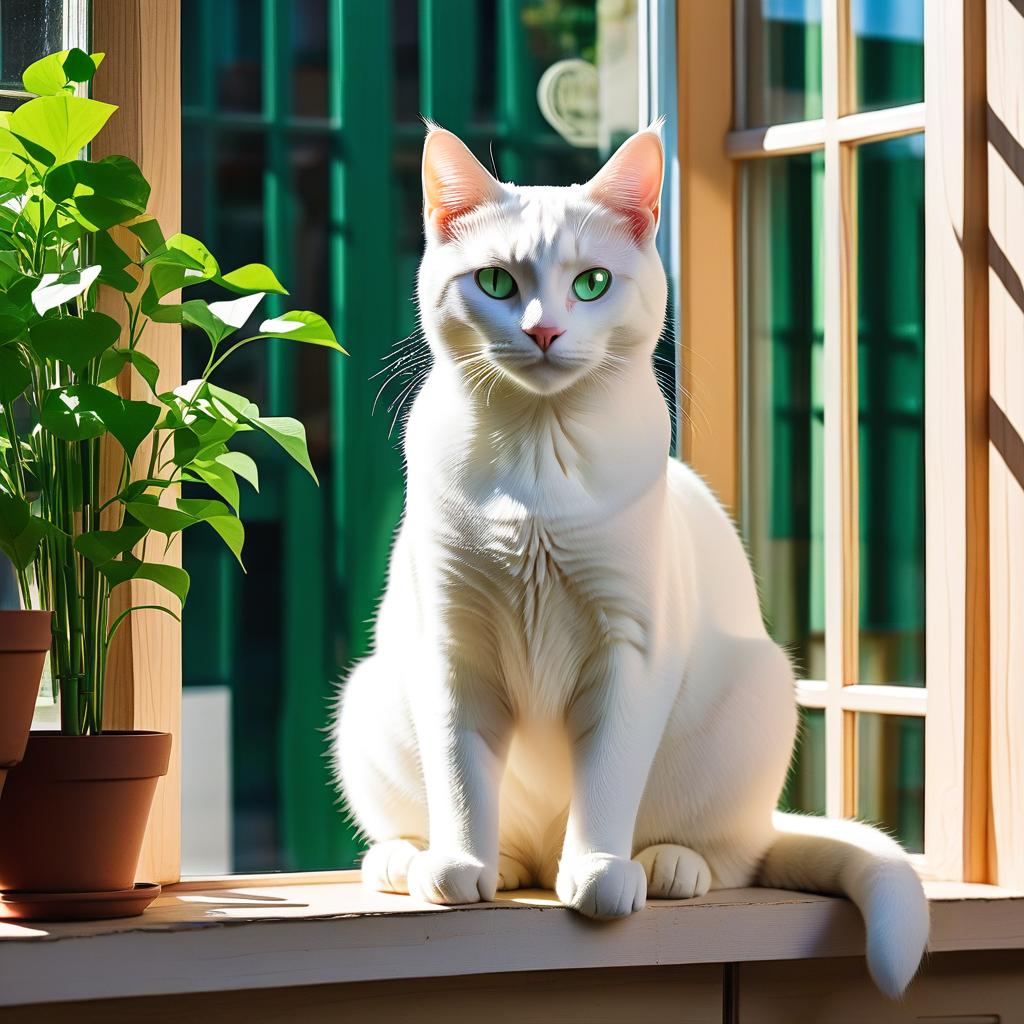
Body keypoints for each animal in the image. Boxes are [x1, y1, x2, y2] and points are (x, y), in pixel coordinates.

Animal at [333, 123, 929, 995]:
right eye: (496, 282)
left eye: (591, 283)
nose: (544, 330)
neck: (539, 460)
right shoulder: (450, 647)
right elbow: (459, 772)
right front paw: (459, 865)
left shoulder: (630, 647)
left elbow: (609, 774)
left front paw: (599, 872)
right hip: (370, 694)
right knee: (477, 833)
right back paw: (422, 859)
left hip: (756, 695)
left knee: (733, 856)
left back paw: (663, 864)